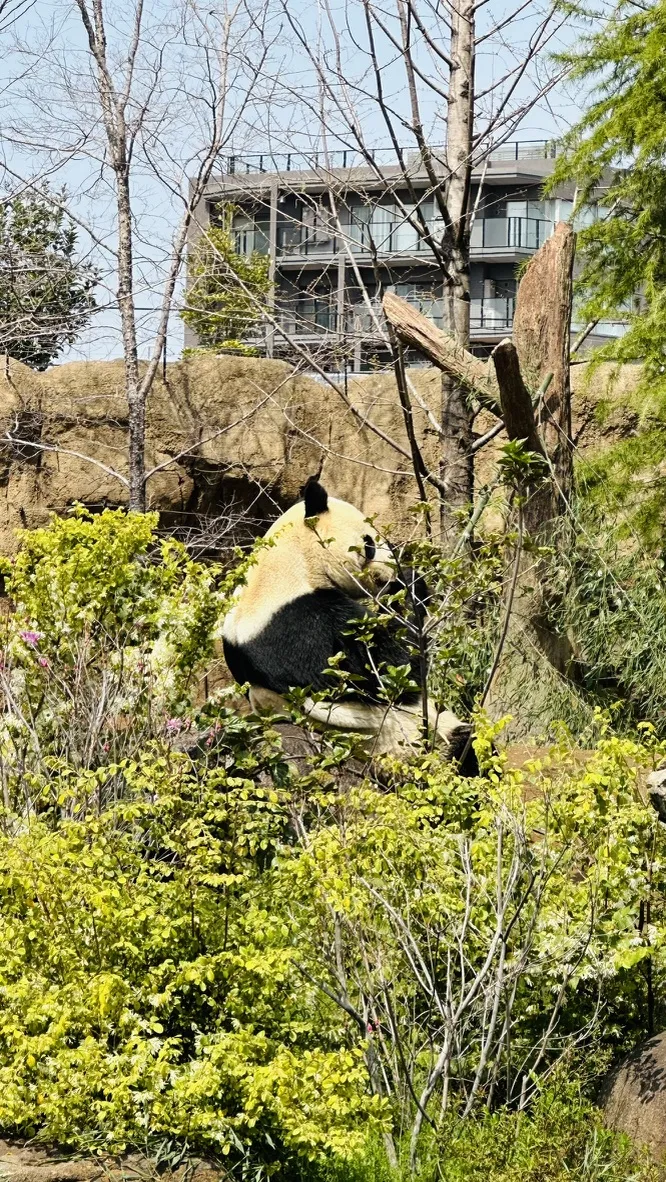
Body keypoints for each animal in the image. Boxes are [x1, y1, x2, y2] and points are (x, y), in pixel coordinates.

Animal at [221, 477, 479, 775]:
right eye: (369, 543)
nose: (390, 571)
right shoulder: (303, 625)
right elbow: (394, 671)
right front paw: (410, 583)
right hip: (397, 741)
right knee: (460, 744)